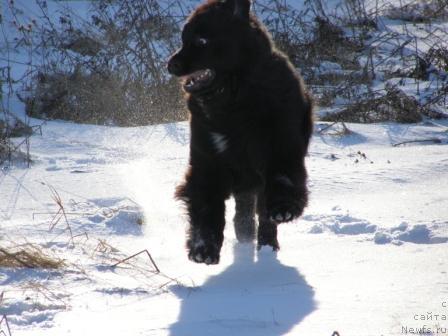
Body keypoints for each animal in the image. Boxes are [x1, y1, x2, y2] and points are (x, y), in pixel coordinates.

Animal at [167, 0, 312, 264]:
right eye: (183, 39)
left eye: (201, 40)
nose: (170, 64)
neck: (234, 97)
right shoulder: (208, 160)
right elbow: (206, 206)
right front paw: (203, 249)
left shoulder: (281, 148)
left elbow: (282, 181)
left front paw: (283, 209)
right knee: (243, 214)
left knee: (261, 213)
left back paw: (267, 248)